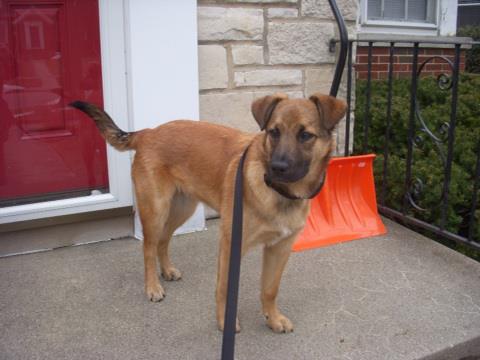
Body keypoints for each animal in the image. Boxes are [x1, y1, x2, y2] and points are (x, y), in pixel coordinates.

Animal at [71, 92, 346, 332]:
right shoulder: (231, 244)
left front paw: (273, 318)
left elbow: (270, 288)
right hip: (156, 210)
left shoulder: (279, 249)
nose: (277, 167)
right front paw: (225, 322)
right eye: (274, 132)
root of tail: (149, 132)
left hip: (182, 209)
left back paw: (167, 271)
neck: (279, 193)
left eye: (305, 135)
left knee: (163, 241)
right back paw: (152, 286)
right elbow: (224, 287)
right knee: (148, 247)